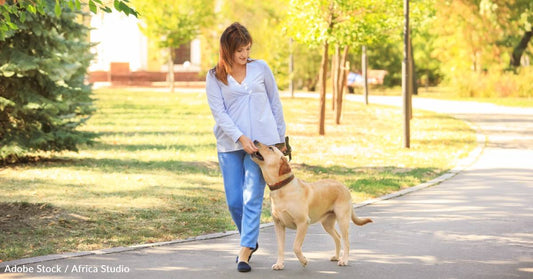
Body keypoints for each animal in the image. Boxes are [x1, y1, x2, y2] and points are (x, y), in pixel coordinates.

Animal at [251, 141, 372, 270]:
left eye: (270, 148)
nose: (255, 141)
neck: (282, 188)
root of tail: (344, 187)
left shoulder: (303, 223)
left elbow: (296, 246)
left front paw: (303, 261)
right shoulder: (279, 225)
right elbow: (280, 247)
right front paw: (279, 264)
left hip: (342, 220)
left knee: (346, 241)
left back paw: (344, 260)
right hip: (327, 223)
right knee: (337, 237)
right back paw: (336, 256)